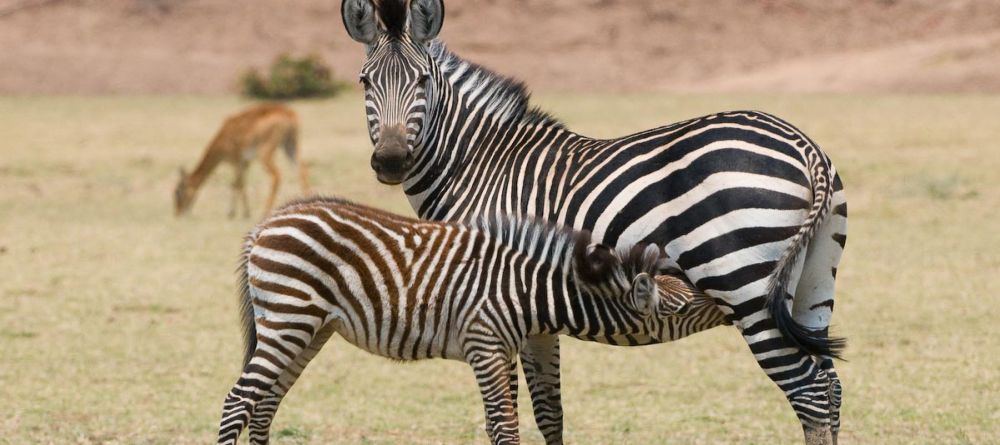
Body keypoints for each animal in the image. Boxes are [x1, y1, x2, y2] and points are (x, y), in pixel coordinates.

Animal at [174, 103, 310, 217]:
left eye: (178, 192)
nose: (178, 213)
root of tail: (289, 114)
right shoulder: (245, 162)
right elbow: (241, 184)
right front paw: (242, 212)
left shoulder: (236, 161)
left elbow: (236, 184)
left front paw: (234, 213)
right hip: (290, 146)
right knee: (302, 170)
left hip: (265, 153)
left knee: (276, 175)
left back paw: (265, 210)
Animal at [219, 198, 720, 444]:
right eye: (682, 309)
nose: (727, 303)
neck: (530, 292)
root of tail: (263, 226)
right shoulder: (485, 345)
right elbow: (504, 424)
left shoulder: (514, 345)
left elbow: (522, 420)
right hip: (289, 319)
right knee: (239, 400)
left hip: (309, 328)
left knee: (264, 404)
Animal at [340, 1, 848, 442]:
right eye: (364, 82)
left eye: (423, 81)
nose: (390, 161)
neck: (479, 163)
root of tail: (804, 146)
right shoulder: (530, 305)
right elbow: (549, 410)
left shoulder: (494, 298)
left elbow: (513, 412)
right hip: (812, 283)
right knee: (831, 387)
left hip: (744, 282)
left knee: (807, 392)